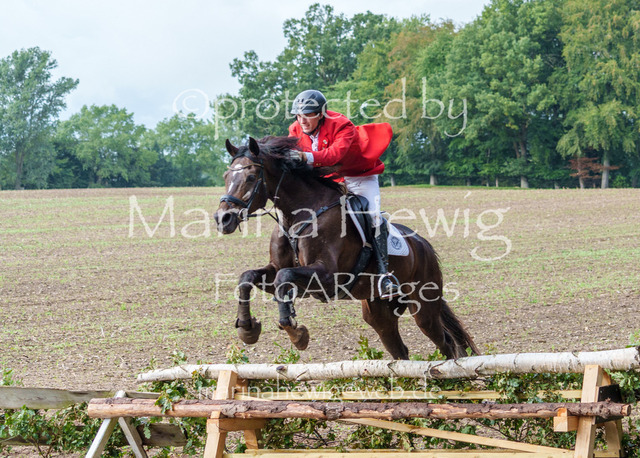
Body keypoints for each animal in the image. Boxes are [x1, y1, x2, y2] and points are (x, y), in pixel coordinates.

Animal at [213, 136, 478, 359]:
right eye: (226, 176)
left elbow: (284, 277)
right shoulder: (277, 269)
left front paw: (296, 334)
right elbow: (248, 277)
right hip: (378, 312)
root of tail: (423, 244)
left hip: (424, 306)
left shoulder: (328, 276)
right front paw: (247, 329)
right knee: (399, 350)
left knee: (446, 344)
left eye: (250, 178)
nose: (222, 219)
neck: (298, 217)